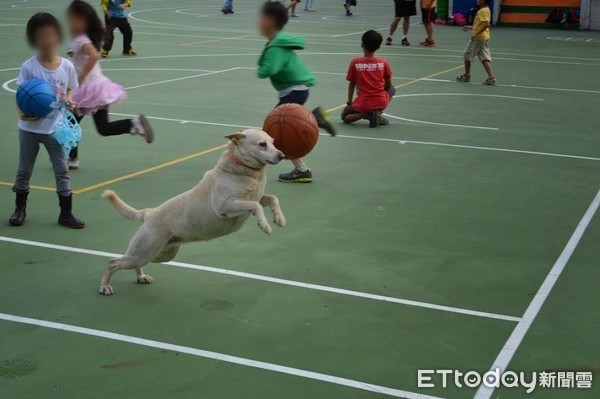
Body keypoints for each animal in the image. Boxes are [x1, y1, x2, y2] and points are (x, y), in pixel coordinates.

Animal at [98, 130, 286, 296]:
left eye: (273, 142)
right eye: (262, 144)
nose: (282, 155)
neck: (243, 169)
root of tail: (149, 213)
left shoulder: (258, 198)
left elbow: (272, 199)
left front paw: (279, 219)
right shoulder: (224, 206)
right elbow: (255, 206)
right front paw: (264, 225)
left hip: (157, 253)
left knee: (130, 261)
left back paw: (141, 277)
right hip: (145, 250)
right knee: (113, 262)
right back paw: (104, 287)